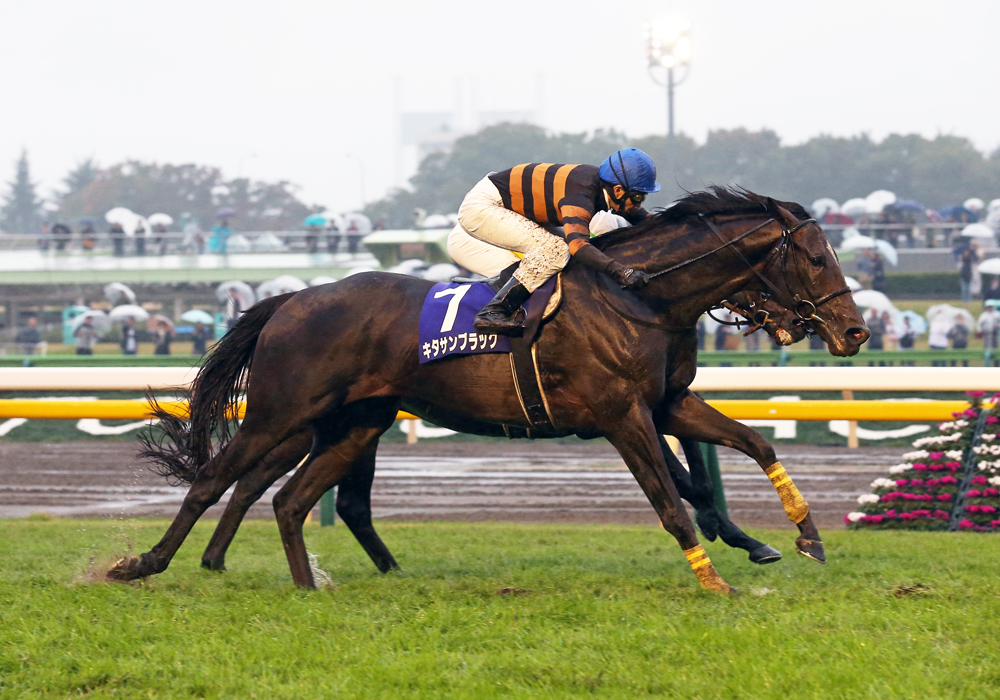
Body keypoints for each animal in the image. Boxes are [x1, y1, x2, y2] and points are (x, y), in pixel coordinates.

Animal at [111, 189, 868, 592]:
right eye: (814, 256)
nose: (854, 331)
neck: (640, 298)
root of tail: (293, 299)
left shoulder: (666, 403)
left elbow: (753, 445)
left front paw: (801, 537)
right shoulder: (621, 415)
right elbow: (671, 499)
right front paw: (715, 580)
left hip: (354, 424)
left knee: (294, 499)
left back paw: (307, 587)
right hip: (280, 413)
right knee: (217, 480)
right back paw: (142, 563)